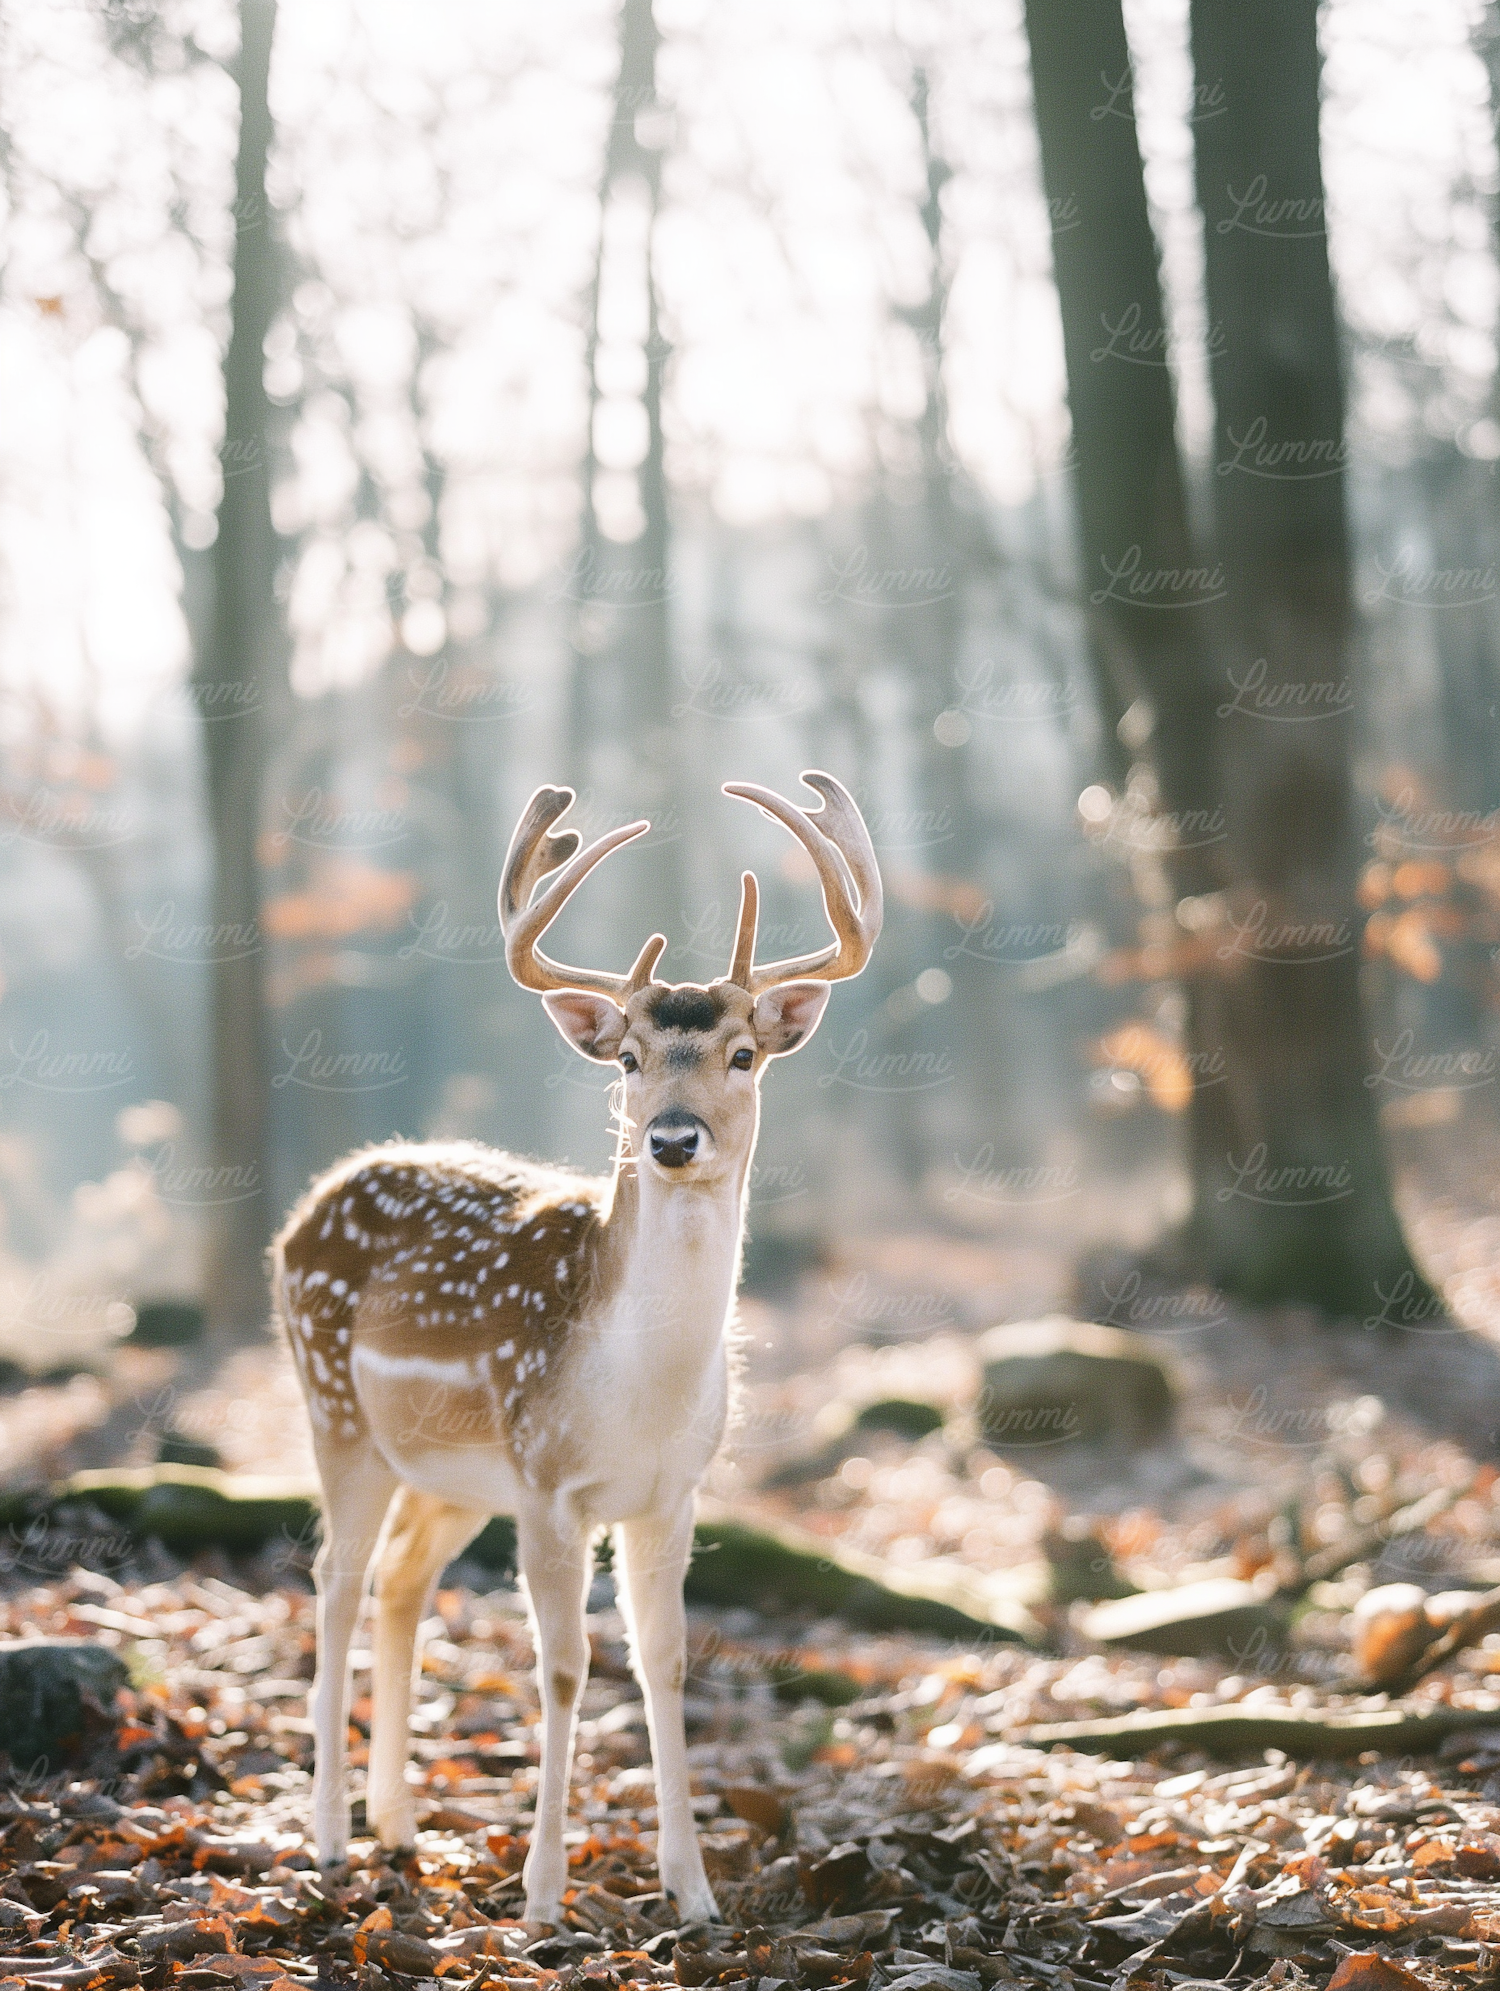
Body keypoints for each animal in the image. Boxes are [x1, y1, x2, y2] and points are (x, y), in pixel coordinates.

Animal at [272, 768, 876, 1919]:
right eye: (630, 1057)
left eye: (742, 1052)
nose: (673, 1137)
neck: (632, 1388)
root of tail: (305, 1208)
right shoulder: (551, 1485)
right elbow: (562, 1667)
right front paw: (544, 1895)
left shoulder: (671, 1494)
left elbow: (665, 1661)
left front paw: (693, 1891)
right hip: (338, 1414)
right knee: (332, 1576)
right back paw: (327, 1837)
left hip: (452, 1475)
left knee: (399, 1580)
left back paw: (398, 1824)